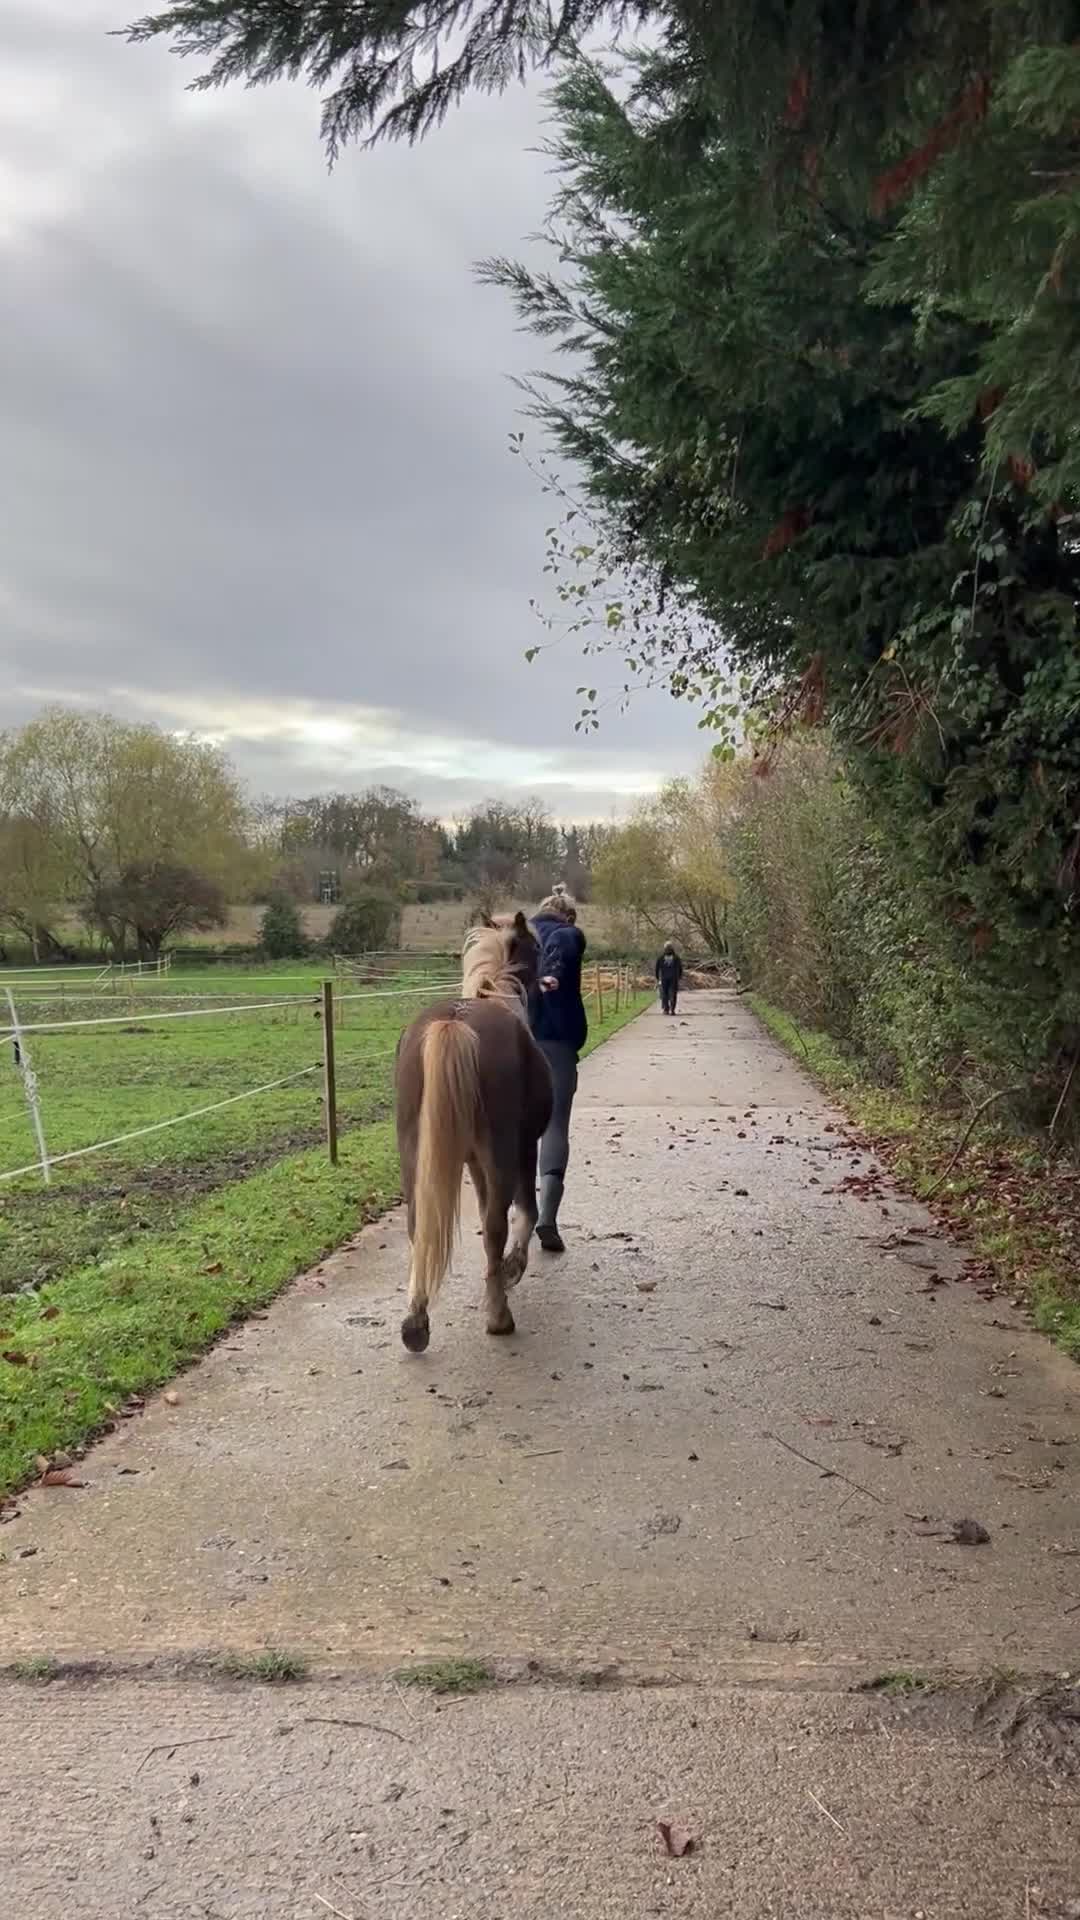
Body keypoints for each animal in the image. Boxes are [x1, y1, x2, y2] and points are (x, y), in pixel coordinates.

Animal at [394, 912, 554, 1353]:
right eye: (537, 946)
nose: (549, 981)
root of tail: (455, 1023)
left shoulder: (474, 1162)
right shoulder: (522, 1149)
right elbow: (524, 1211)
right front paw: (513, 1269)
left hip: (414, 1154)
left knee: (418, 1225)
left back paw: (415, 1323)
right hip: (501, 1153)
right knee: (497, 1226)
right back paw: (499, 1316)